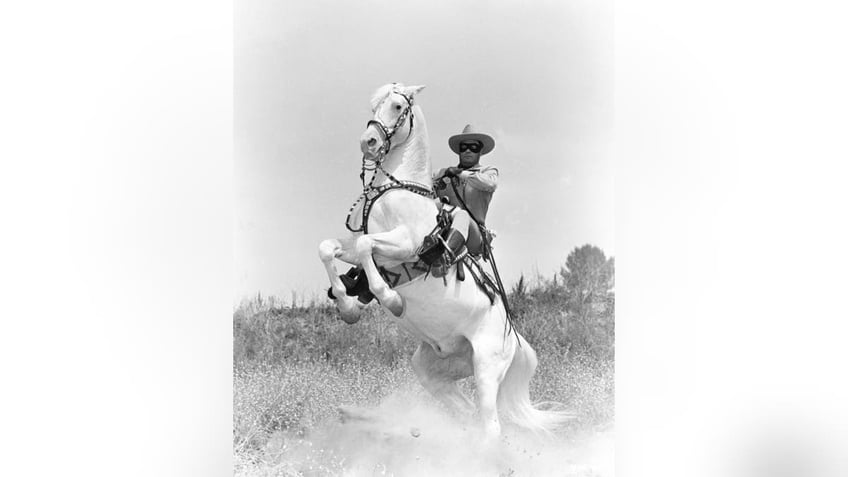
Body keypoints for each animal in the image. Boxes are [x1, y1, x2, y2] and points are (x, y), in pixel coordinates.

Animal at [318, 82, 568, 438]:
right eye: (373, 105)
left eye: (397, 106)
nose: (369, 142)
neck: (399, 190)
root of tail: (514, 339)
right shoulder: (359, 244)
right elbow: (329, 247)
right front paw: (347, 305)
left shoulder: (405, 243)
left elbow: (367, 246)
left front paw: (391, 299)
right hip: (435, 369)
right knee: (466, 413)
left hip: (486, 368)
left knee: (491, 425)